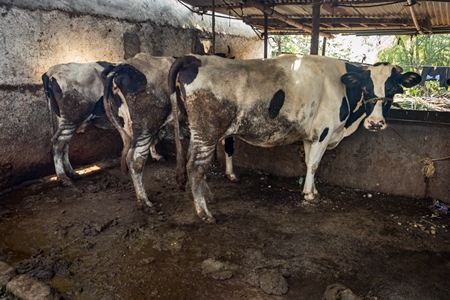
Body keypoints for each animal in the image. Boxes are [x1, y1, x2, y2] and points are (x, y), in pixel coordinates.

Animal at [169, 54, 422, 223]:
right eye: (366, 88)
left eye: (393, 89)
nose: (376, 123)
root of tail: (193, 58)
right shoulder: (324, 131)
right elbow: (315, 163)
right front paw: (310, 195)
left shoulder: (311, 136)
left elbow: (309, 163)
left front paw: (313, 190)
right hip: (207, 131)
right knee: (195, 166)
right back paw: (204, 212)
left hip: (197, 132)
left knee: (193, 162)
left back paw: (207, 196)